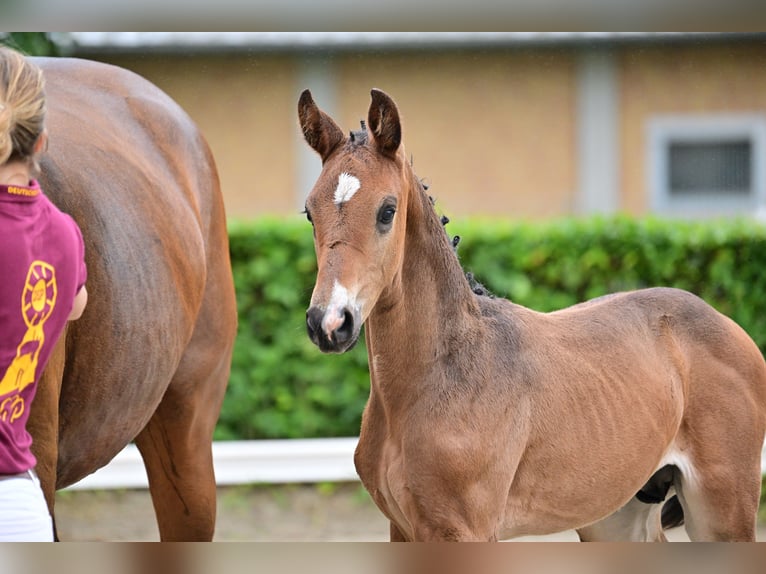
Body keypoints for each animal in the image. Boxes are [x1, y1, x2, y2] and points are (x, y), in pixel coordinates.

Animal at [298, 88, 766, 544]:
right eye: (310, 212)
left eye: (387, 210)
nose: (330, 323)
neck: (440, 374)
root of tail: (729, 327)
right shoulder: (402, 529)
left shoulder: (464, 531)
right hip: (617, 514)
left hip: (721, 511)